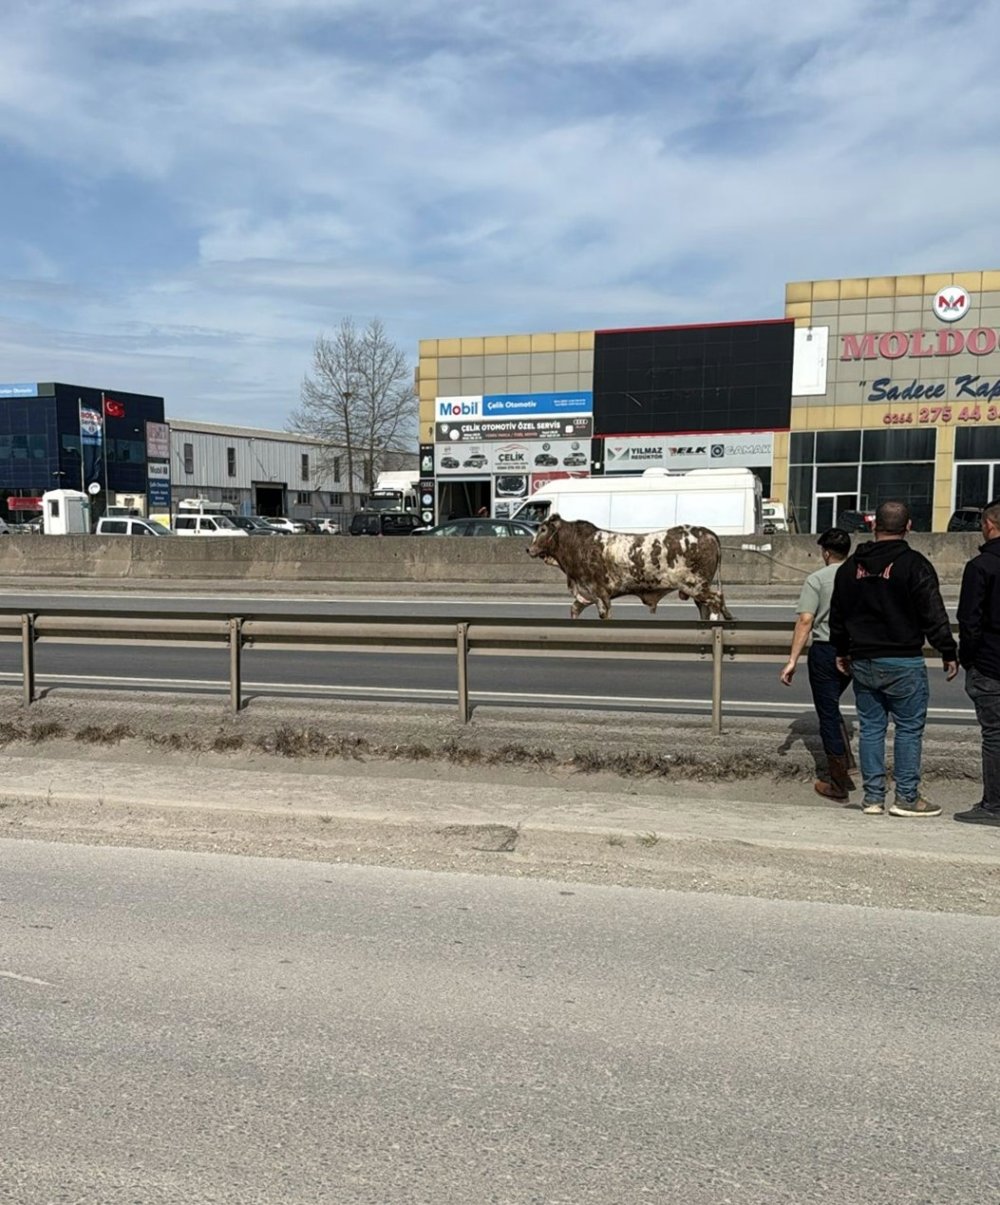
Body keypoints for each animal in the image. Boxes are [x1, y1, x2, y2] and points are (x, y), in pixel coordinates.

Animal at [527, 510, 732, 616]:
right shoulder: (585, 596)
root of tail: (708, 534)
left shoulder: (601, 596)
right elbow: (574, 609)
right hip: (698, 590)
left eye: (543, 529)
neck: (577, 545)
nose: (529, 549)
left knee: (715, 602)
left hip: (696, 586)